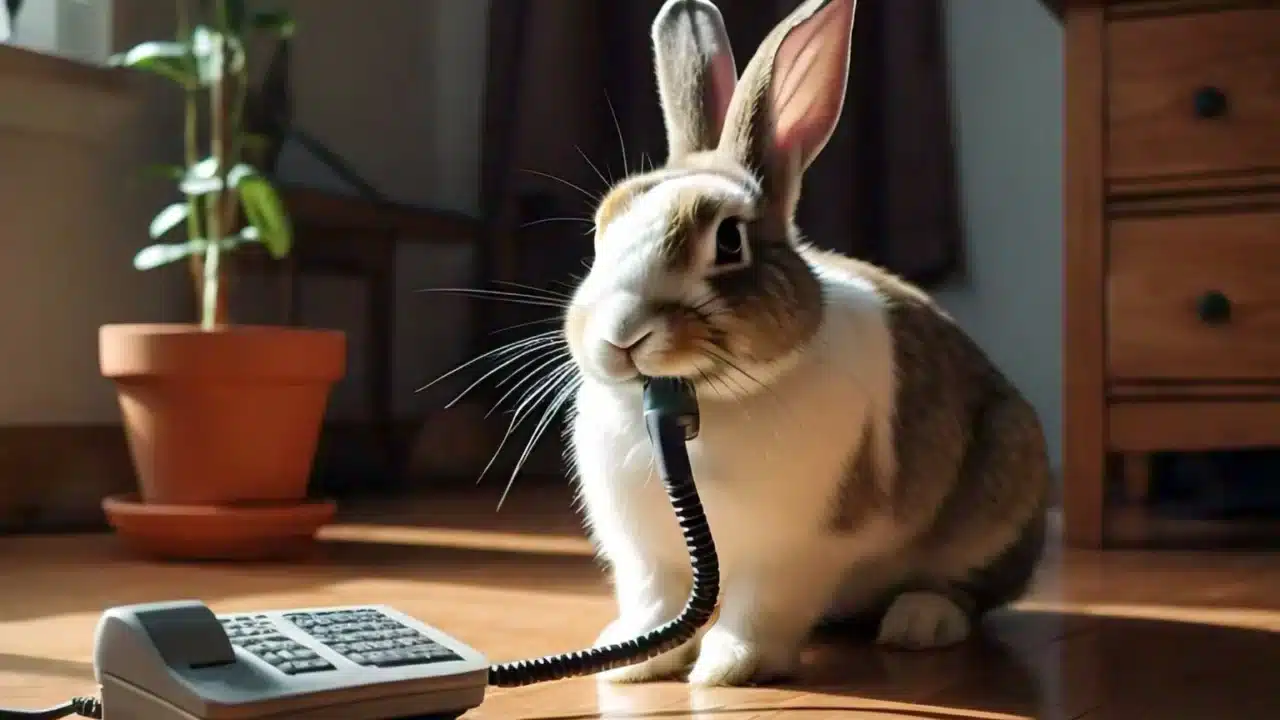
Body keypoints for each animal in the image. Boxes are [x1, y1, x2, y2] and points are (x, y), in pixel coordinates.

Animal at [560, 0, 1049, 686]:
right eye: (601, 228)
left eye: (729, 241)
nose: (620, 335)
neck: (708, 408)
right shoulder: (649, 558)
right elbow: (655, 605)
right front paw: (627, 663)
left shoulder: (794, 553)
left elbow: (758, 613)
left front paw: (726, 670)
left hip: (1002, 482)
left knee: (970, 590)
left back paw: (918, 622)